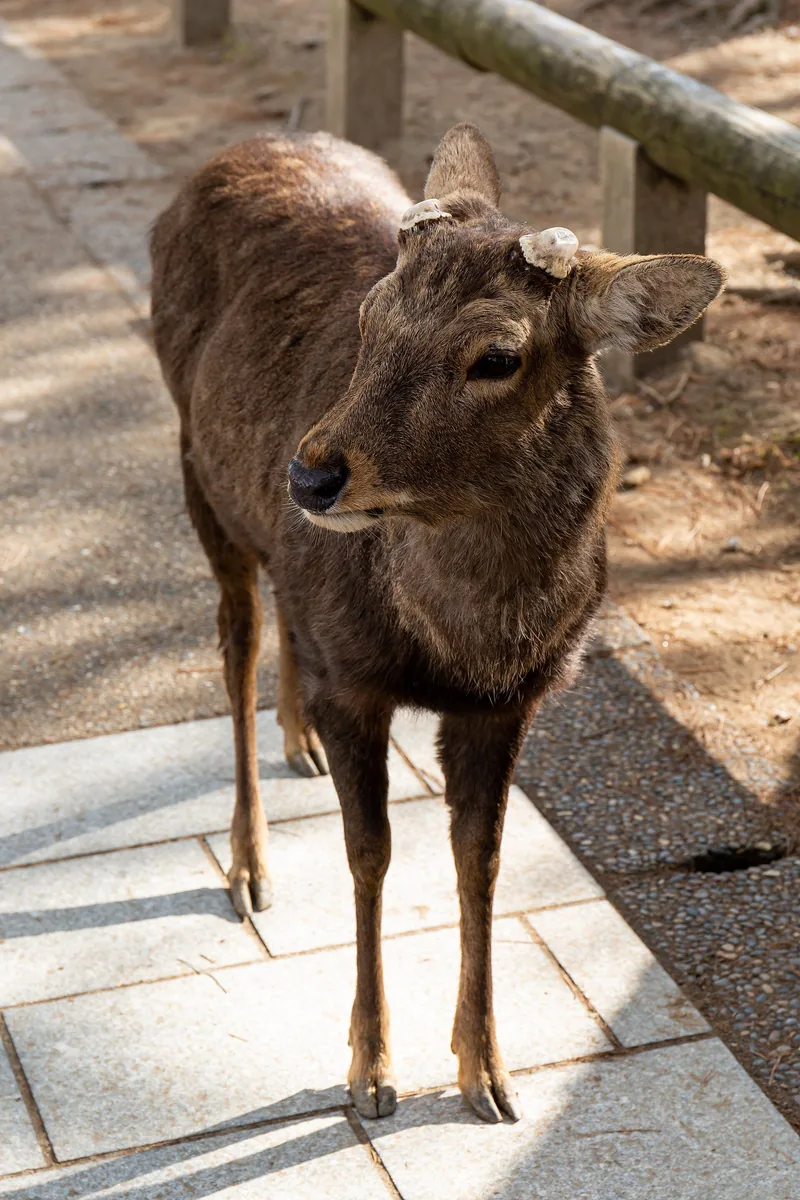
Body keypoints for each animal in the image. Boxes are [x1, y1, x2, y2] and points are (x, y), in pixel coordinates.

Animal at [149, 123, 724, 1124]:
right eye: (371, 318)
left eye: (497, 356)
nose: (310, 475)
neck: (464, 646)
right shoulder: (357, 686)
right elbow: (370, 855)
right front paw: (371, 1070)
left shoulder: (510, 702)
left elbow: (479, 862)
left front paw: (486, 1073)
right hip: (196, 465)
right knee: (237, 636)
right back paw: (249, 864)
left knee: (282, 611)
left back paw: (295, 743)